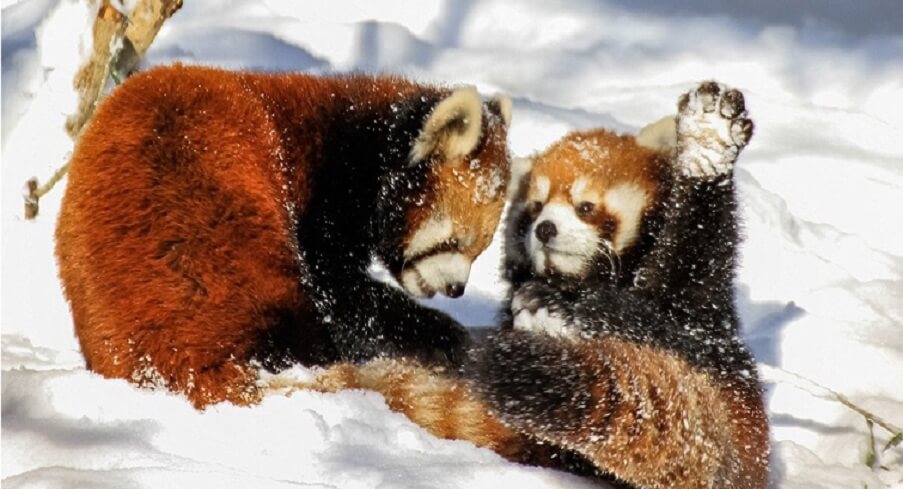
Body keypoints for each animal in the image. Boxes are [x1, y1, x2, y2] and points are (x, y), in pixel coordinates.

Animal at [56, 65, 512, 408]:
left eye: (480, 250)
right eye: (453, 242)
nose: (456, 289)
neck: (363, 141)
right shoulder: (322, 199)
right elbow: (343, 296)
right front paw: (440, 333)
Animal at [294, 82, 768, 486]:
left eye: (585, 206)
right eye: (535, 206)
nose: (545, 229)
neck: (580, 281)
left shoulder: (700, 315)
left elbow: (685, 298)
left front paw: (708, 148)